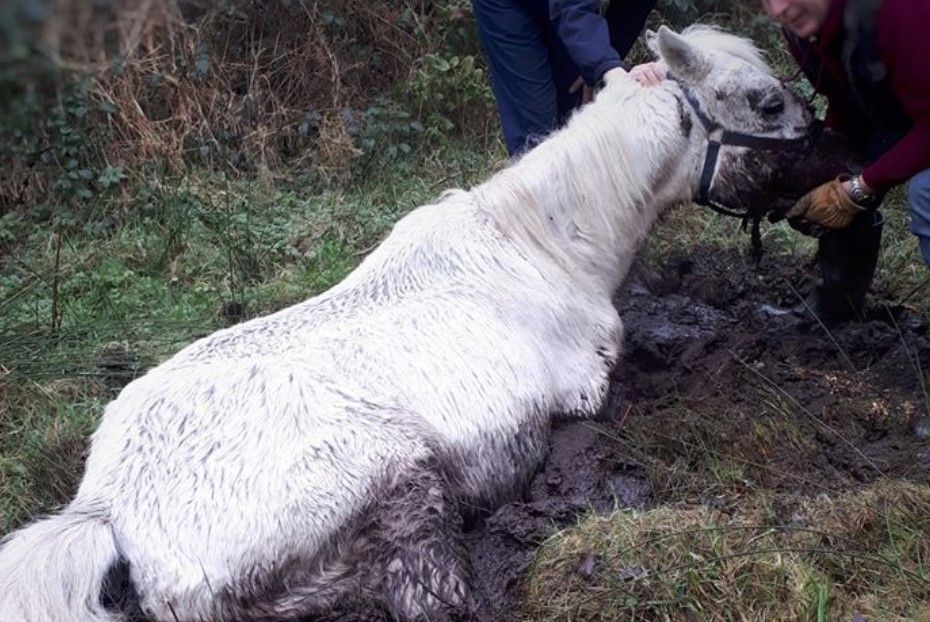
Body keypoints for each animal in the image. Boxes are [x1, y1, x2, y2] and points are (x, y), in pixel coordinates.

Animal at [0, 25, 813, 621]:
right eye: (767, 103)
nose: (821, 158)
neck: (547, 246)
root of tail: (108, 506)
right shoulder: (585, 391)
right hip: (400, 491)